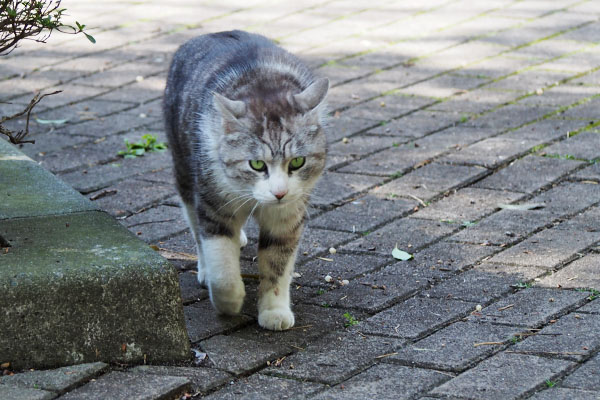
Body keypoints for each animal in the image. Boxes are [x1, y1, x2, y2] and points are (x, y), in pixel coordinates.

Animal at [163, 30, 328, 332]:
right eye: (257, 164)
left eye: (297, 162)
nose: (279, 193)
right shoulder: (213, 201)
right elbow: (221, 266)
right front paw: (229, 301)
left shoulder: (288, 216)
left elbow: (277, 264)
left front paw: (274, 310)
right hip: (184, 168)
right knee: (195, 224)